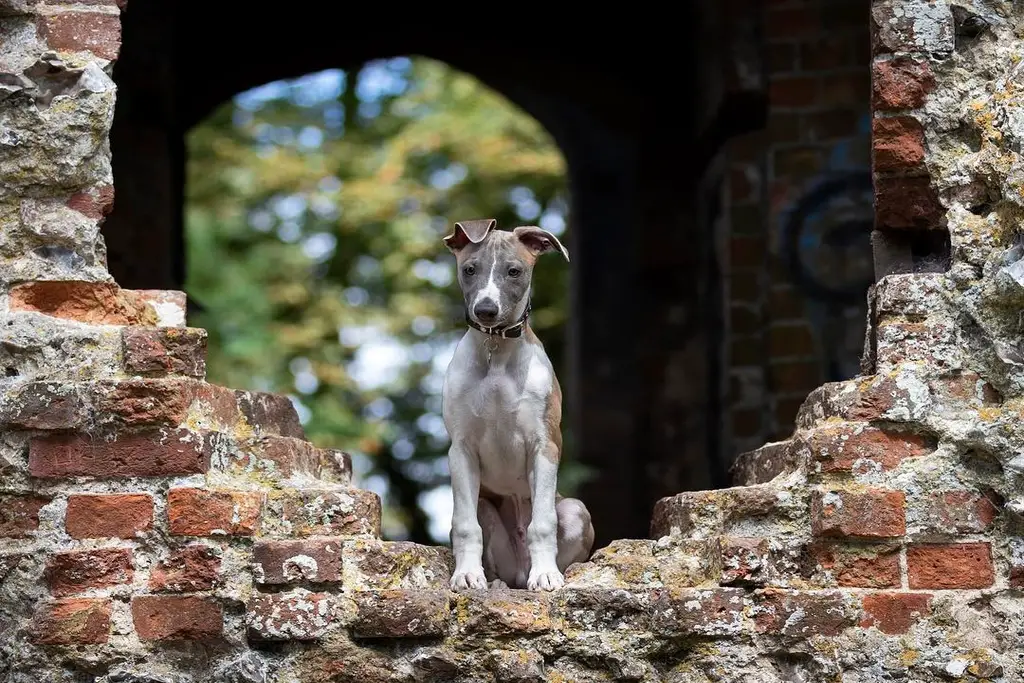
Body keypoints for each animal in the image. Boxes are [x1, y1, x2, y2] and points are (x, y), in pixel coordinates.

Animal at [438, 220, 593, 593]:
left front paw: (547, 575)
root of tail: (519, 573)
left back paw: (545, 572)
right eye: (469, 269)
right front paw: (467, 575)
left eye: (514, 271)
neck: (495, 352)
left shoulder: (544, 445)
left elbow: (543, 523)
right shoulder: (461, 450)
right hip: (485, 507)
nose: (486, 310)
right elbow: (465, 525)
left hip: (575, 509)